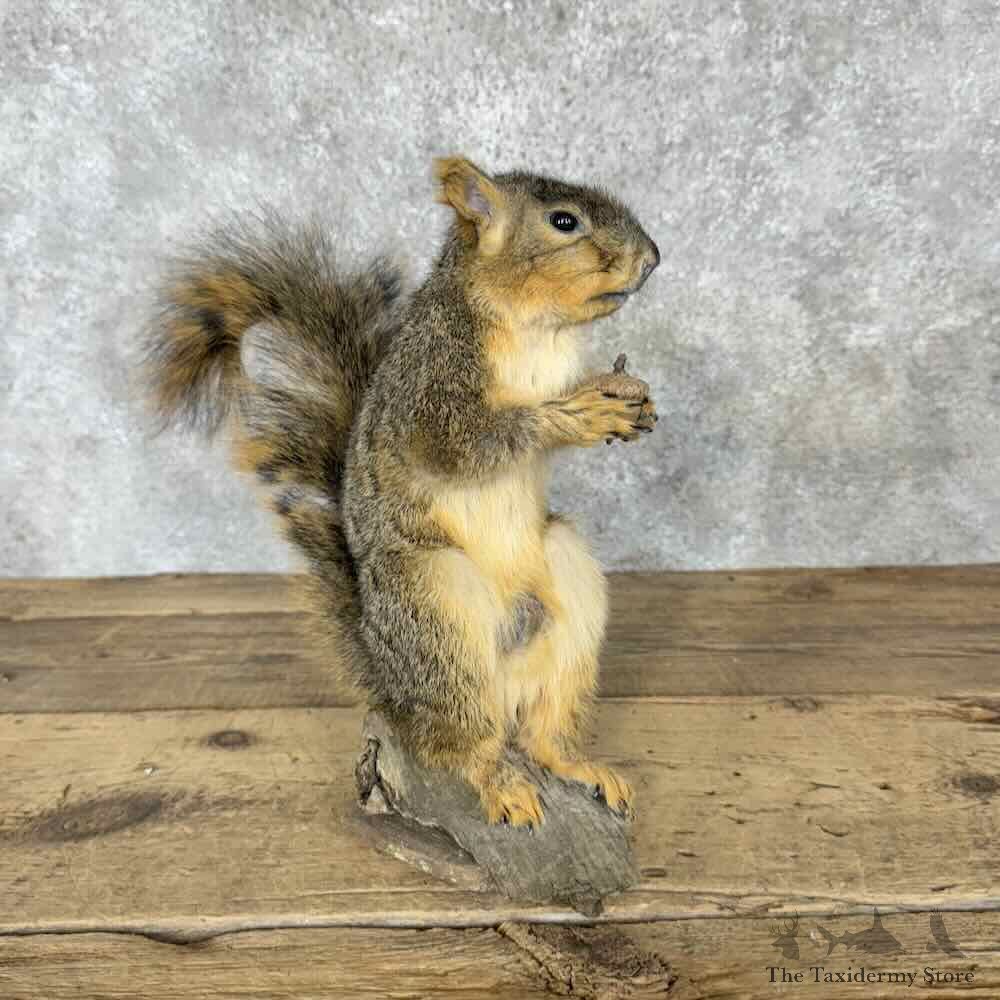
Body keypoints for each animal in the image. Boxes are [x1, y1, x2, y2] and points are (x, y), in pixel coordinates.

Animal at [146, 156, 660, 828]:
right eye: (564, 222)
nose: (652, 258)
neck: (537, 328)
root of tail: (392, 688)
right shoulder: (429, 383)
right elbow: (461, 443)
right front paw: (577, 415)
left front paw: (628, 394)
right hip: (433, 604)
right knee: (464, 745)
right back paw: (500, 782)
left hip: (564, 593)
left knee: (539, 733)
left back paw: (576, 765)